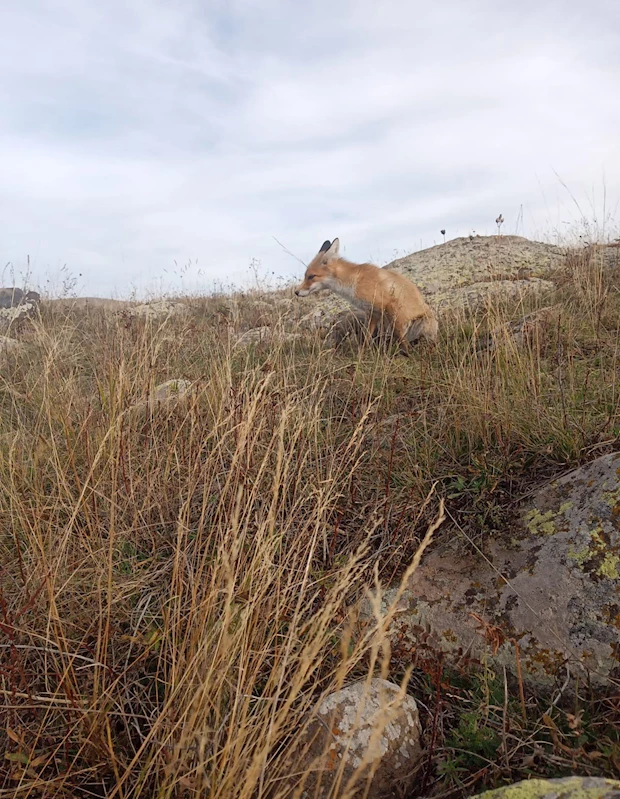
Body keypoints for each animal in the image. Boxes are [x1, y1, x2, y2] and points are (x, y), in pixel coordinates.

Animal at [294, 239, 436, 354]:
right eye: (305, 276)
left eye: (311, 276)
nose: (296, 292)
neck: (353, 282)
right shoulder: (372, 312)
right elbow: (366, 337)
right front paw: (362, 354)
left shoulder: (389, 305)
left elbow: (400, 335)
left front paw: (407, 354)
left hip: (422, 323)